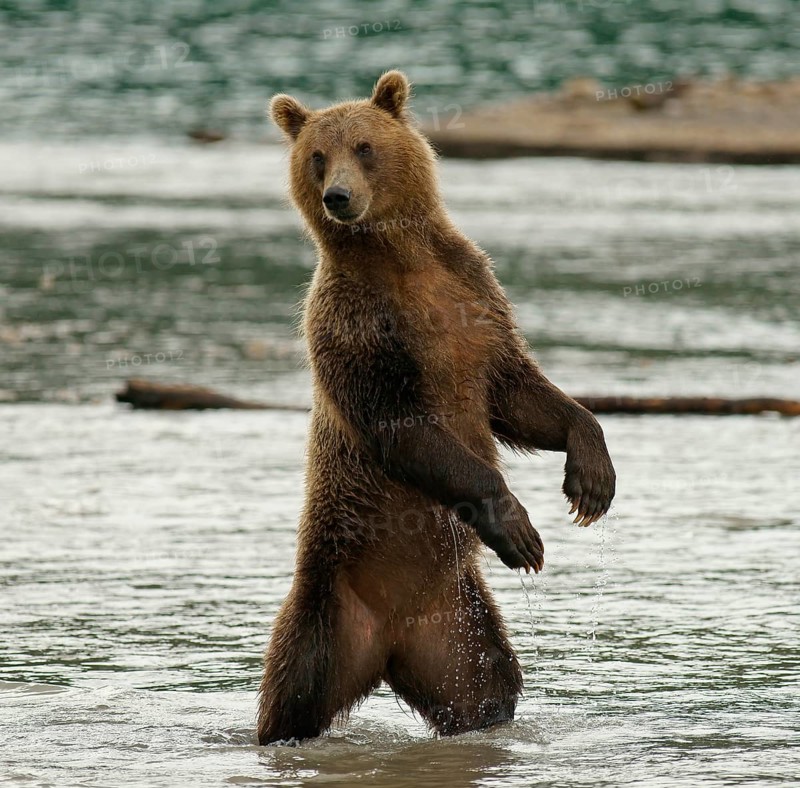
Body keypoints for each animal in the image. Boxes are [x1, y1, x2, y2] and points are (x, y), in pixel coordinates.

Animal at [257, 70, 616, 745]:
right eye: (317, 156)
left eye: (365, 146)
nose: (339, 196)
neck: (399, 260)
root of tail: (385, 644)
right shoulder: (355, 326)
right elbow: (403, 425)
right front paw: (519, 528)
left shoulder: (473, 297)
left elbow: (518, 392)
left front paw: (591, 480)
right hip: (328, 601)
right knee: (293, 692)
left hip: (456, 627)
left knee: (486, 687)